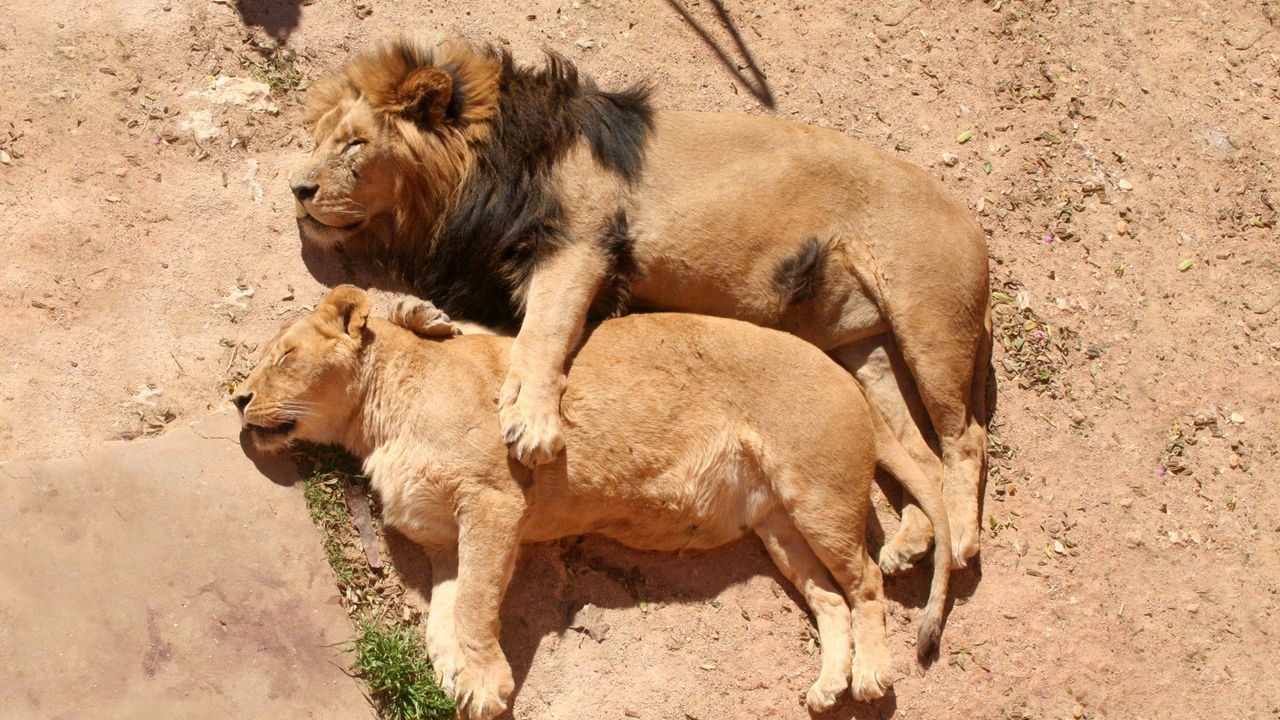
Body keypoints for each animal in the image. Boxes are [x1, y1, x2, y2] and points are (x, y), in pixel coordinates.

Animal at [232, 285, 952, 717]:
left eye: (284, 357)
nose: (238, 398)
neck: (375, 421)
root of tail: (846, 376)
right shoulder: (442, 541)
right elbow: (441, 617)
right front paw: (454, 675)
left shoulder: (493, 503)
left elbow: (474, 605)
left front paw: (486, 683)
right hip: (778, 526)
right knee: (830, 597)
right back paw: (830, 684)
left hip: (818, 497)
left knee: (865, 581)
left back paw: (871, 676)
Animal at [290, 40, 988, 566]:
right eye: (317, 139)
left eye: (354, 145)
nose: (297, 187)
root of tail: (972, 220)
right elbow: (495, 334)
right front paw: (426, 319)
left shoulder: (582, 242)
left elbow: (542, 333)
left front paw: (532, 422)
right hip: (863, 352)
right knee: (919, 455)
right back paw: (914, 540)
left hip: (930, 325)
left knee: (966, 438)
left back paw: (960, 540)